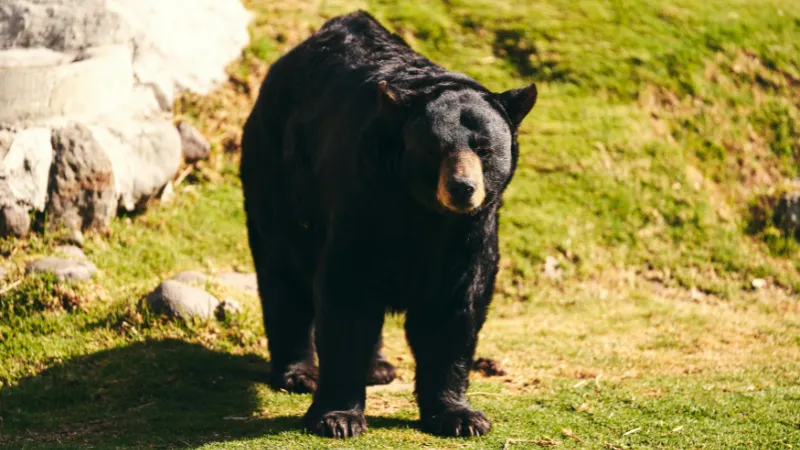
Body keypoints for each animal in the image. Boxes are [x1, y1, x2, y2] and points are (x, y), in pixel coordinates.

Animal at [240, 10, 537, 439]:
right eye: (436, 148)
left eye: (484, 148)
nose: (462, 188)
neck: (422, 211)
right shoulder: (366, 201)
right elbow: (348, 293)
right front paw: (337, 417)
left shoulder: (469, 232)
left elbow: (455, 305)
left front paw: (460, 416)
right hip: (277, 173)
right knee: (284, 270)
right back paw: (300, 372)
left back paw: (378, 367)